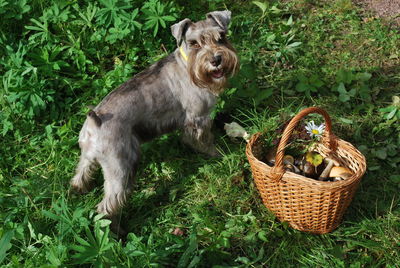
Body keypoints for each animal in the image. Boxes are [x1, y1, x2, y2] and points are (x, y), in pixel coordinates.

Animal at [70, 10, 239, 232]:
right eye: (194, 43)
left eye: (221, 37)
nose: (216, 59)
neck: (189, 64)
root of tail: (94, 122)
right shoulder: (199, 118)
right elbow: (204, 140)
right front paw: (217, 153)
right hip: (121, 169)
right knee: (107, 206)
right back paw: (117, 232)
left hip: (88, 157)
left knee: (80, 173)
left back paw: (79, 189)